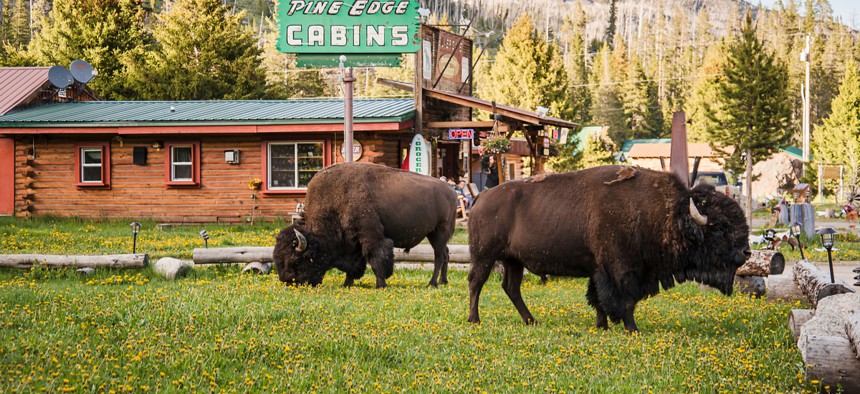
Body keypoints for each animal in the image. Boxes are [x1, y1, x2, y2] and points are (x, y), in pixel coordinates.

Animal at [272, 162, 460, 288]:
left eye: (296, 260)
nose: (287, 280)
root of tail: (450, 190)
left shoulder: (370, 235)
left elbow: (376, 259)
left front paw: (380, 284)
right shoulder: (353, 242)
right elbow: (356, 264)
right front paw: (347, 283)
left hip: (439, 232)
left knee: (439, 256)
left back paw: (432, 283)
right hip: (434, 234)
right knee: (446, 254)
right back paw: (443, 282)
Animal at [466, 166, 748, 332]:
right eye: (721, 227)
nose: (746, 253)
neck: (668, 213)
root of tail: (480, 197)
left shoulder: (598, 269)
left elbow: (599, 298)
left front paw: (602, 326)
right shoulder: (622, 269)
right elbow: (624, 300)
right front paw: (632, 329)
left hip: (513, 260)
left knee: (511, 287)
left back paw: (531, 320)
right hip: (485, 256)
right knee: (476, 282)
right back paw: (474, 319)